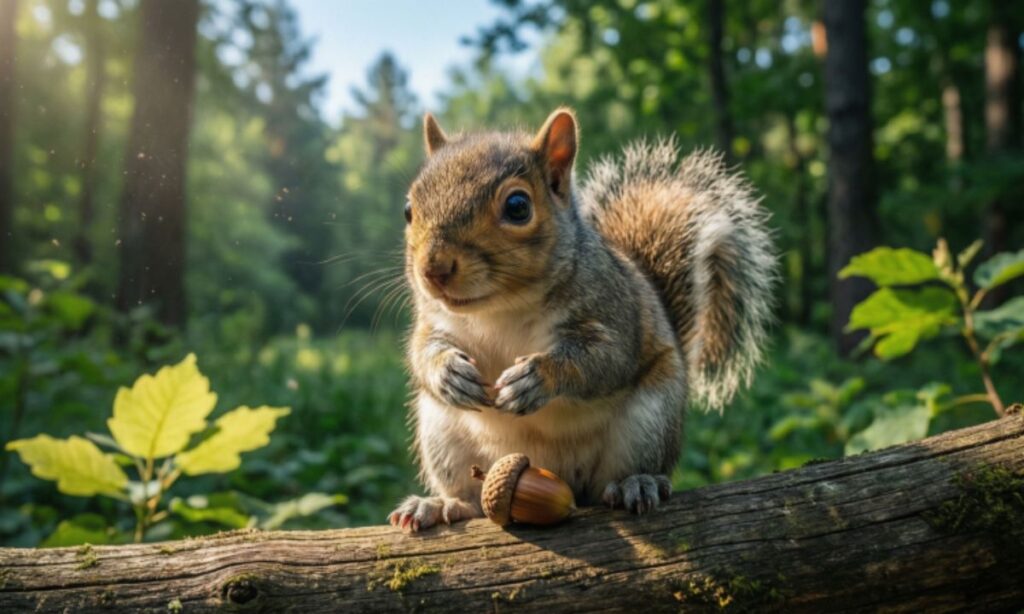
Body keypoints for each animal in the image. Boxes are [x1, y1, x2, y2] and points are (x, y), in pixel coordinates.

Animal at [388, 108, 775, 532]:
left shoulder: (614, 311)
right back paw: (442, 505)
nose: (433, 269)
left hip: (650, 420)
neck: (499, 308)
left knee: (628, 471)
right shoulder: (434, 320)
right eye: (408, 209)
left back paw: (635, 483)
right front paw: (447, 372)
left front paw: (538, 376)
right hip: (442, 435)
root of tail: (559, 477)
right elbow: (421, 351)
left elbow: (604, 360)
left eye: (518, 206)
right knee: (471, 497)